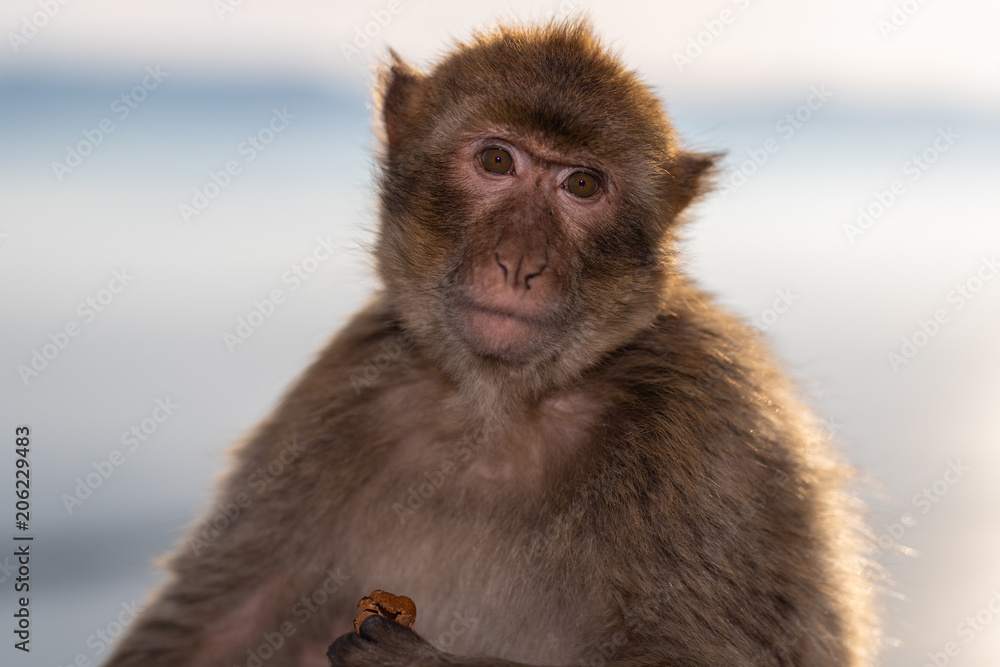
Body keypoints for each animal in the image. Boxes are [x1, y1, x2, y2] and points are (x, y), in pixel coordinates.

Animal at [104, 20, 877, 667]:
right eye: (498, 161)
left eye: (582, 184)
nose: (519, 263)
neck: (499, 408)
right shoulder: (342, 390)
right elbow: (215, 624)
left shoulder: (713, 428)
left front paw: (418, 665)